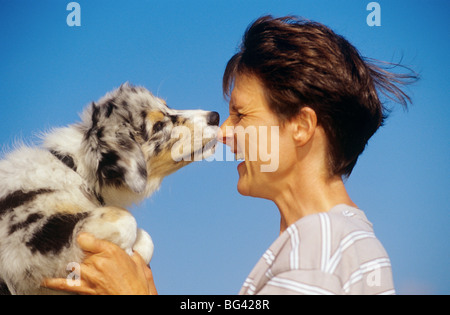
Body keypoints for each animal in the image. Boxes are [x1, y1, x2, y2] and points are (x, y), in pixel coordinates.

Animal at [0, 82, 220, 296]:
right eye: (158, 125)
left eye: (168, 105)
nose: (215, 117)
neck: (78, 171)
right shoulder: (29, 241)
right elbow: (126, 220)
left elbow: (146, 240)